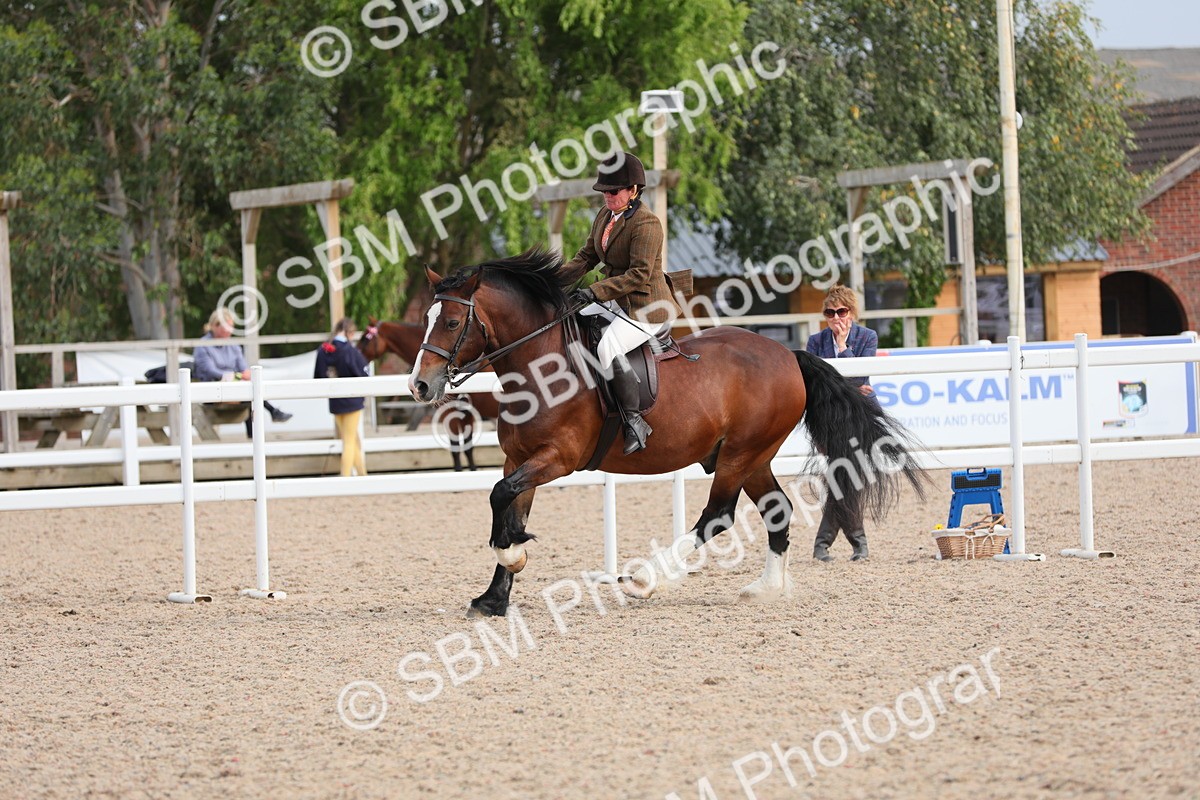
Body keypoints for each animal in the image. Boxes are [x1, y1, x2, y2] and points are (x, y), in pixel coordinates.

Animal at [409, 249, 924, 617]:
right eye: (425, 321)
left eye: (452, 322)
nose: (420, 386)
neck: (540, 366)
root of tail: (787, 355)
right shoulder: (520, 459)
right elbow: (508, 502)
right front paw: (495, 595)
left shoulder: (558, 458)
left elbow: (500, 496)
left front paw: (512, 555)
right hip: (753, 456)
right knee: (777, 509)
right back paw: (766, 588)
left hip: (739, 454)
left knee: (718, 515)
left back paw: (646, 580)